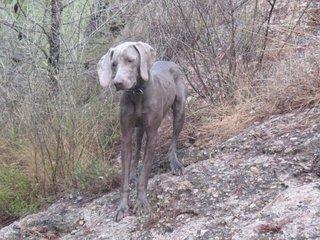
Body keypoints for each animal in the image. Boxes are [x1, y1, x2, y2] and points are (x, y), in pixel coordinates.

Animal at [97, 40, 188, 221]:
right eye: (113, 64)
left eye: (131, 60)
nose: (118, 83)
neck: (137, 93)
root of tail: (170, 62)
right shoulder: (126, 134)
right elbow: (124, 177)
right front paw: (123, 207)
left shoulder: (152, 134)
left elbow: (144, 175)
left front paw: (141, 202)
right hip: (138, 129)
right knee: (137, 149)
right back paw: (133, 173)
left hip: (180, 110)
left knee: (174, 139)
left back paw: (175, 163)